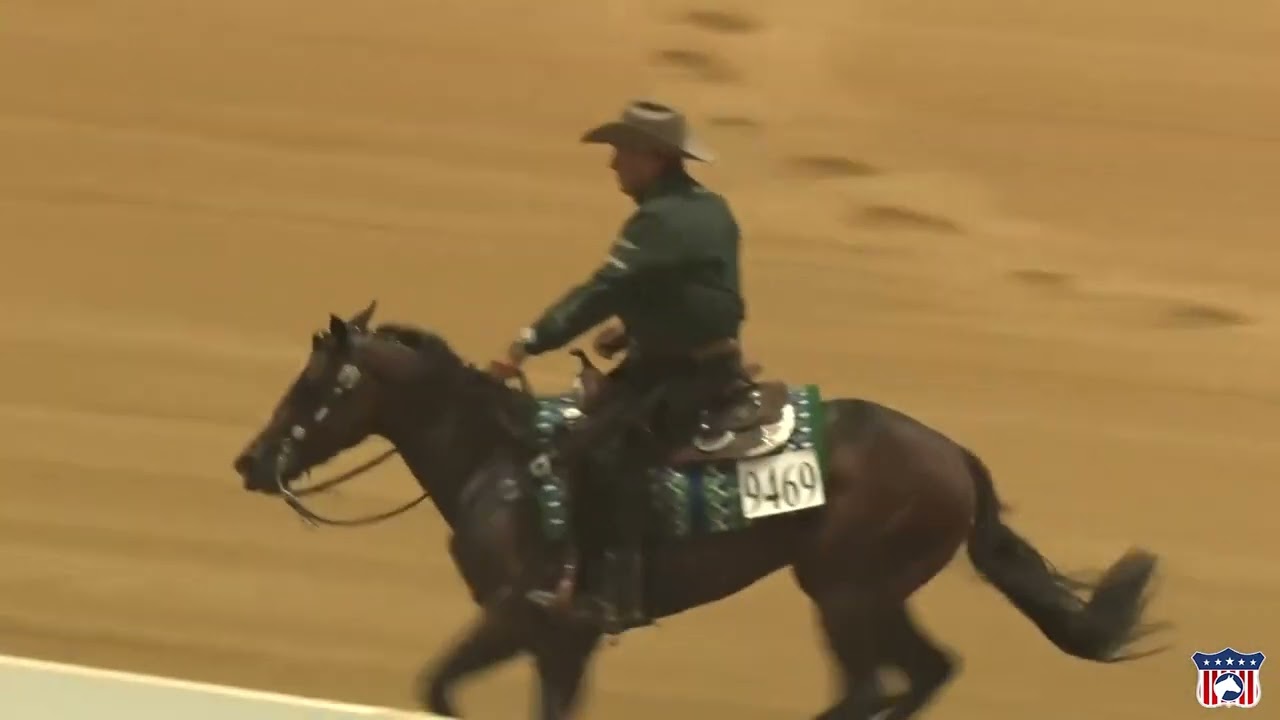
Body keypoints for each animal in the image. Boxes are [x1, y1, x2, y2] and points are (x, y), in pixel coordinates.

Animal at [232, 301, 1166, 720]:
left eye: (313, 386)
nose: (250, 462)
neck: (502, 464)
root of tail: (954, 457)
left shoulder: (531, 622)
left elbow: (450, 688)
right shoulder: (549, 638)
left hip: (846, 593)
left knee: (872, 685)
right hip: (872, 593)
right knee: (926, 673)